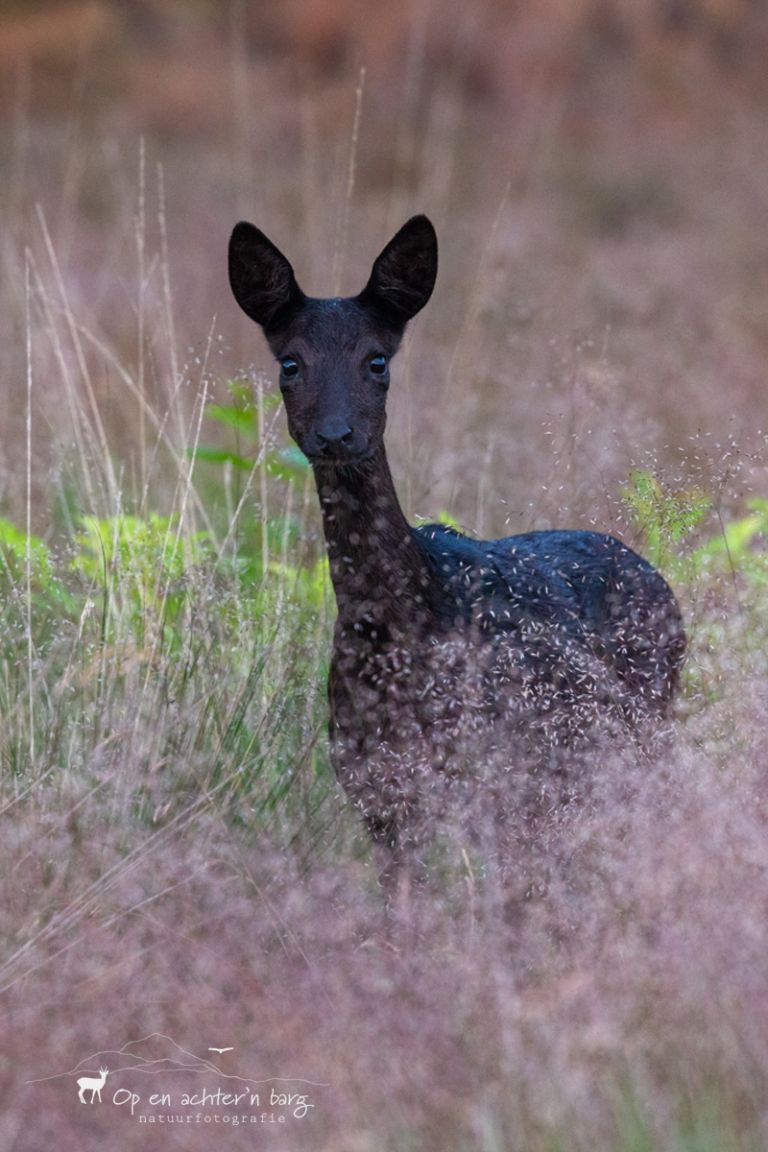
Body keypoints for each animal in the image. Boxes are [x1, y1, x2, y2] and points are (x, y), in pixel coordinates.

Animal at [227, 216, 686, 880]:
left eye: (377, 360)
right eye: (290, 362)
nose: (336, 435)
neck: (405, 629)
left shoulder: (502, 775)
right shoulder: (378, 795)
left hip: (632, 732)